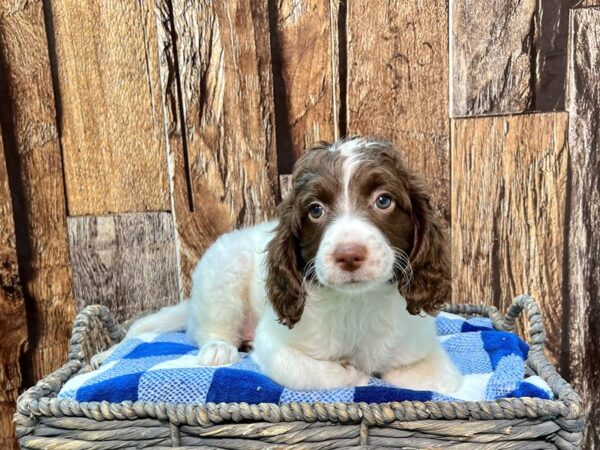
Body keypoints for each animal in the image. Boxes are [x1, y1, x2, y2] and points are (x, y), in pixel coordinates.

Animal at [125, 137, 464, 394]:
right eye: (315, 210)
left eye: (384, 201)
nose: (349, 255)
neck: (357, 303)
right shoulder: (273, 342)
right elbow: (312, 371)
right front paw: (356, 374)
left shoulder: (422, 346)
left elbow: (440, 381)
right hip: (222, 274)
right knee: (207, 329)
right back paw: (218, 348)